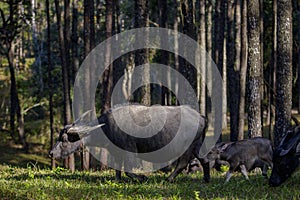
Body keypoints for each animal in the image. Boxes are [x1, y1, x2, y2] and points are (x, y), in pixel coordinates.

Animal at [49, 104, 210, 183]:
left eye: (64, 139)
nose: (51, 153)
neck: (106, 127)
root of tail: (201, 117)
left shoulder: (129, 151)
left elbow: (128, 170)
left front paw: (143, 178)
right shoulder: (116, 152)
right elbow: (117, 169)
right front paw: (118, 180)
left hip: (188, 147)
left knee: (182, 163)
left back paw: (169, 179)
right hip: (197, 146)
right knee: (205, 160)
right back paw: (206, 180)